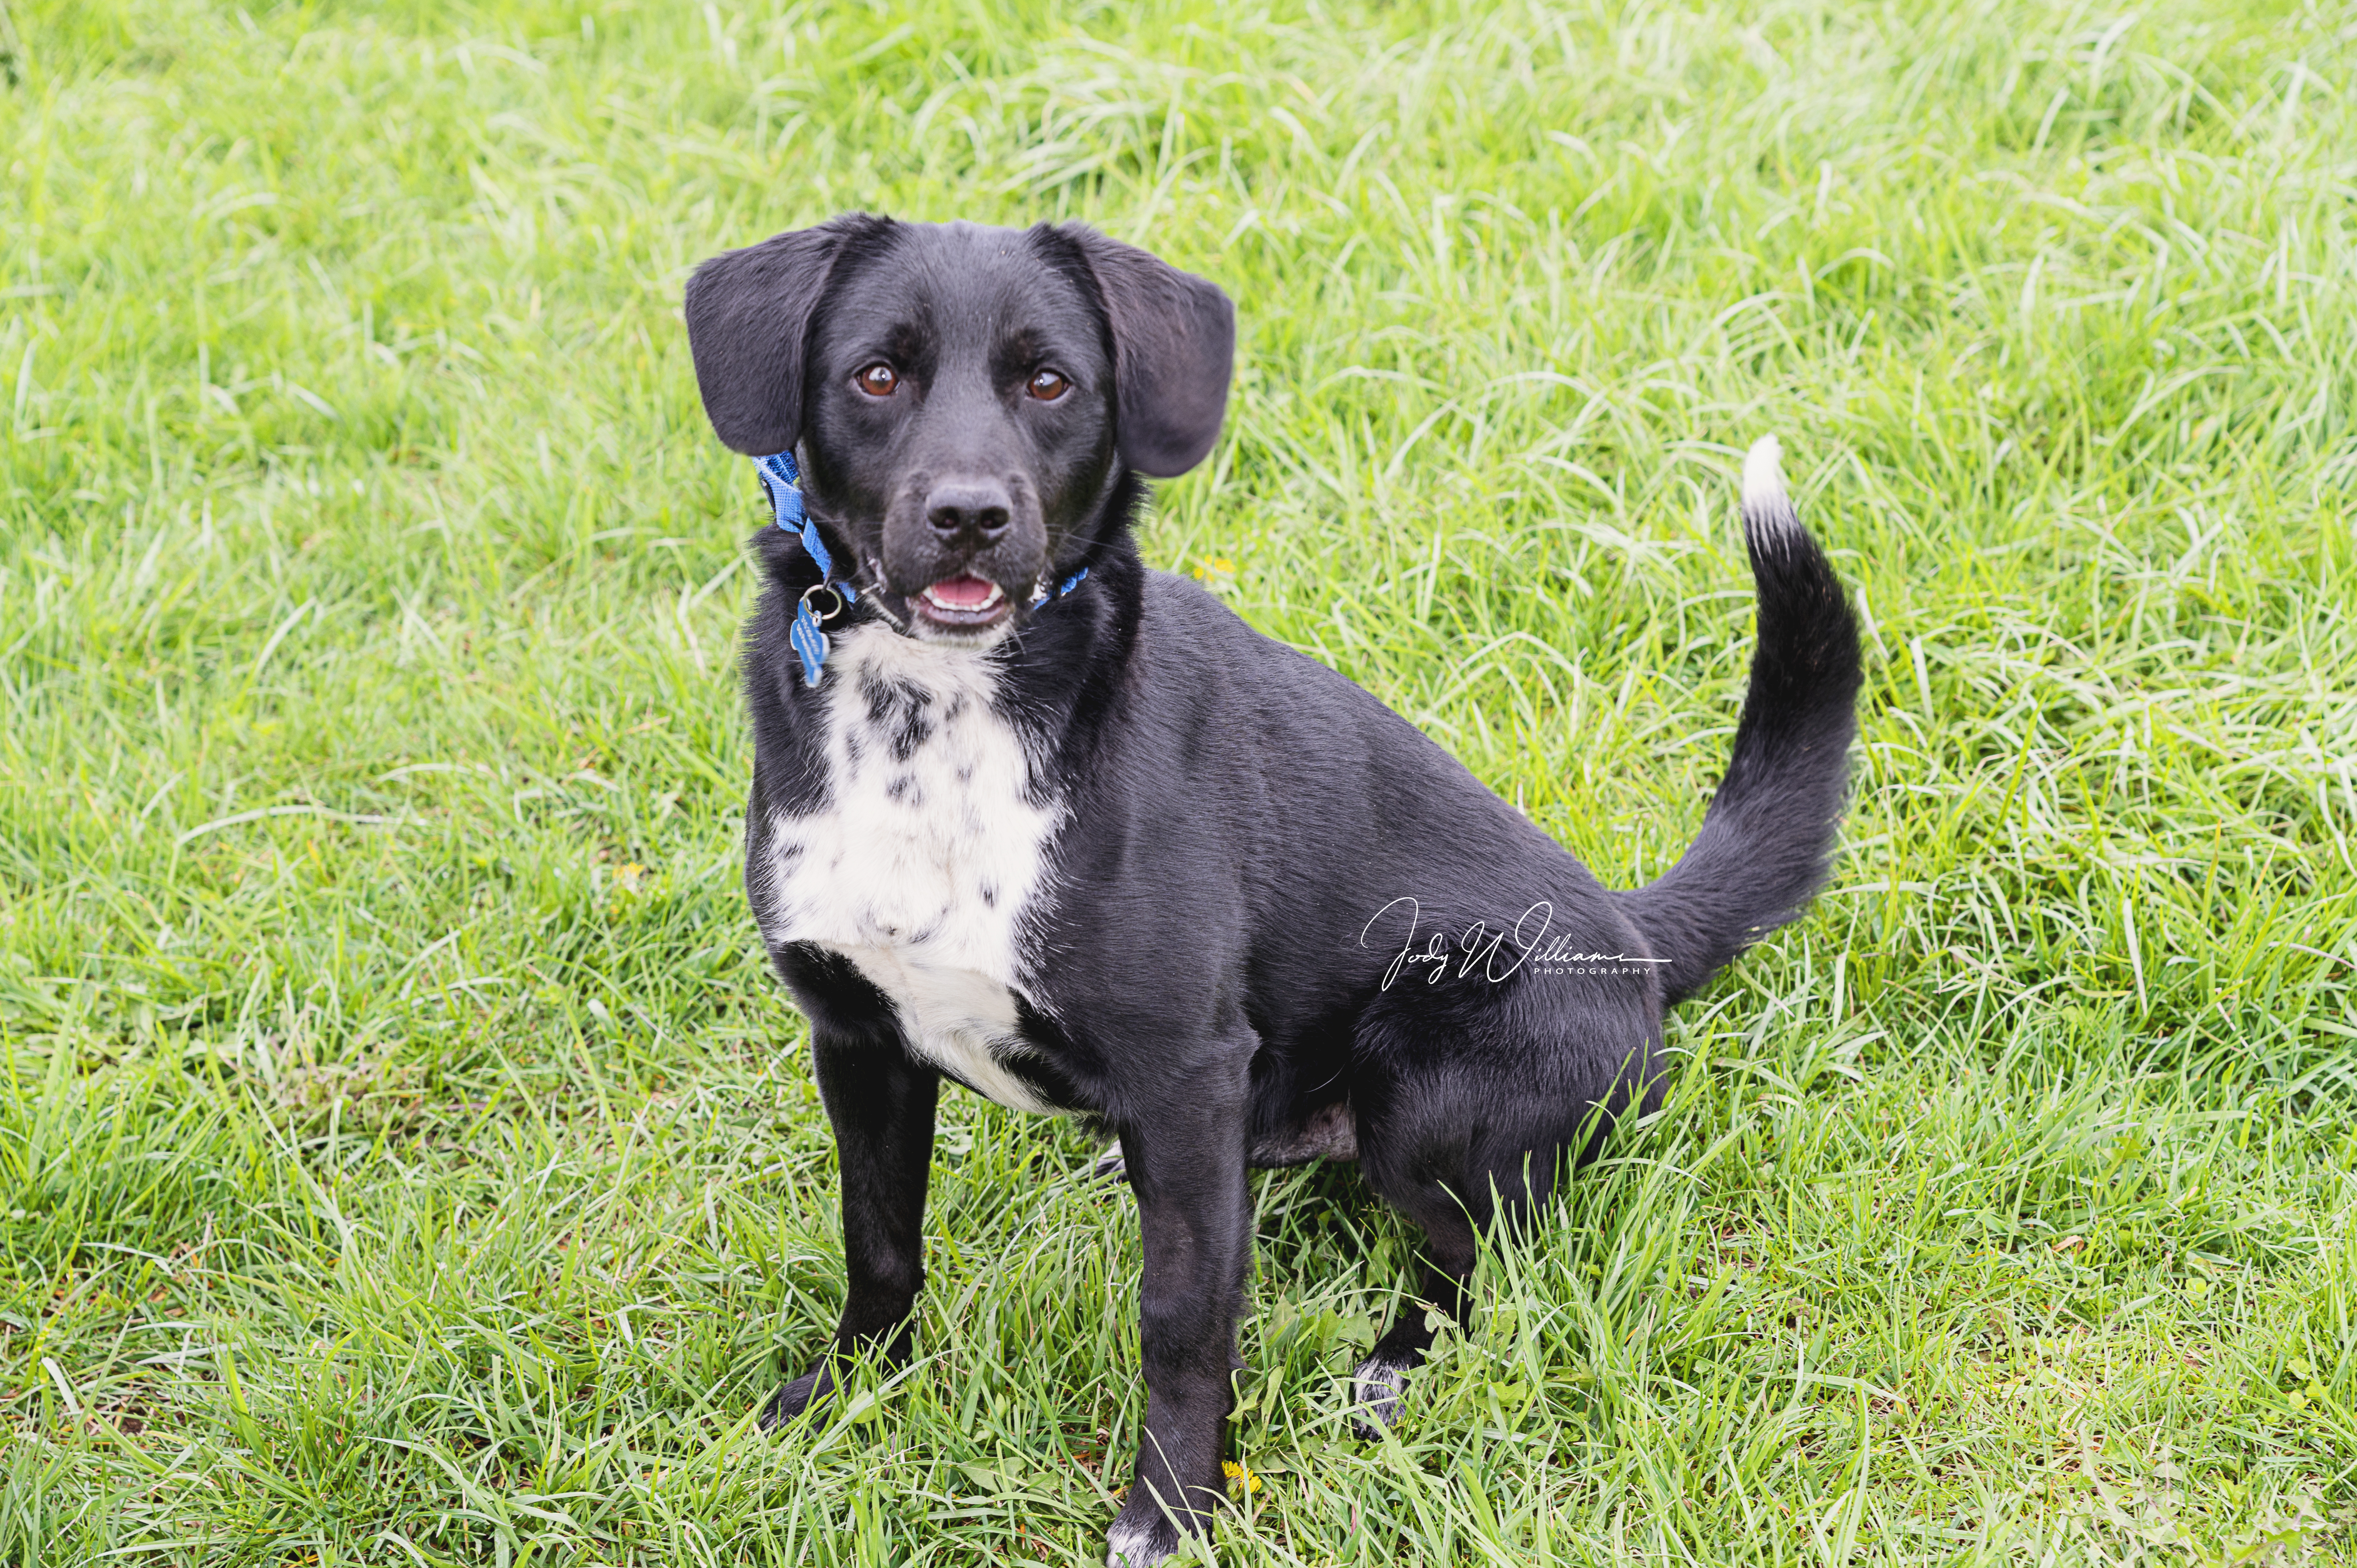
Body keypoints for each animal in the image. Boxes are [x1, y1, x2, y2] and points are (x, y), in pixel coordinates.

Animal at [678, 214, 1857, 1556]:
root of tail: (1635, 937)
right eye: (876, 375)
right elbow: (878, 1239)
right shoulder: (858, 1040)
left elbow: (1184, 1318)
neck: (939, 724)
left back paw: (1398, 1364)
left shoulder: (1188, 1072)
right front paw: (847, 1398)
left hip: (1426, 1085)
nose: (969, 515)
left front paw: (1171, 1509)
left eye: (1050, 381)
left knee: (1477, 1259)